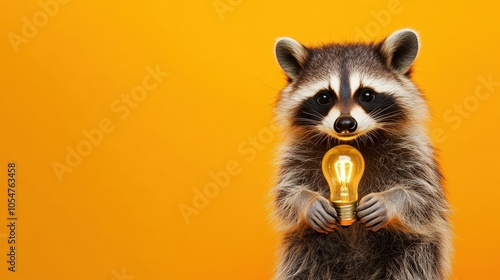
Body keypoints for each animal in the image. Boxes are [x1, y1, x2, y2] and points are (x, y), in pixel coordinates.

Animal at [274, 29, 454, 278]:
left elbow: (423, 196)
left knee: (414, 265)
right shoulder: (296, 154)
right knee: (304, 268)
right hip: (306, 249)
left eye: (367, 95)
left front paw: (390, 200)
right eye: (324, 97)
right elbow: (286, 196)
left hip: (413, 250)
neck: (354, 142)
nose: (345, 124)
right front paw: (308, 201)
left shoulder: (414, 151)